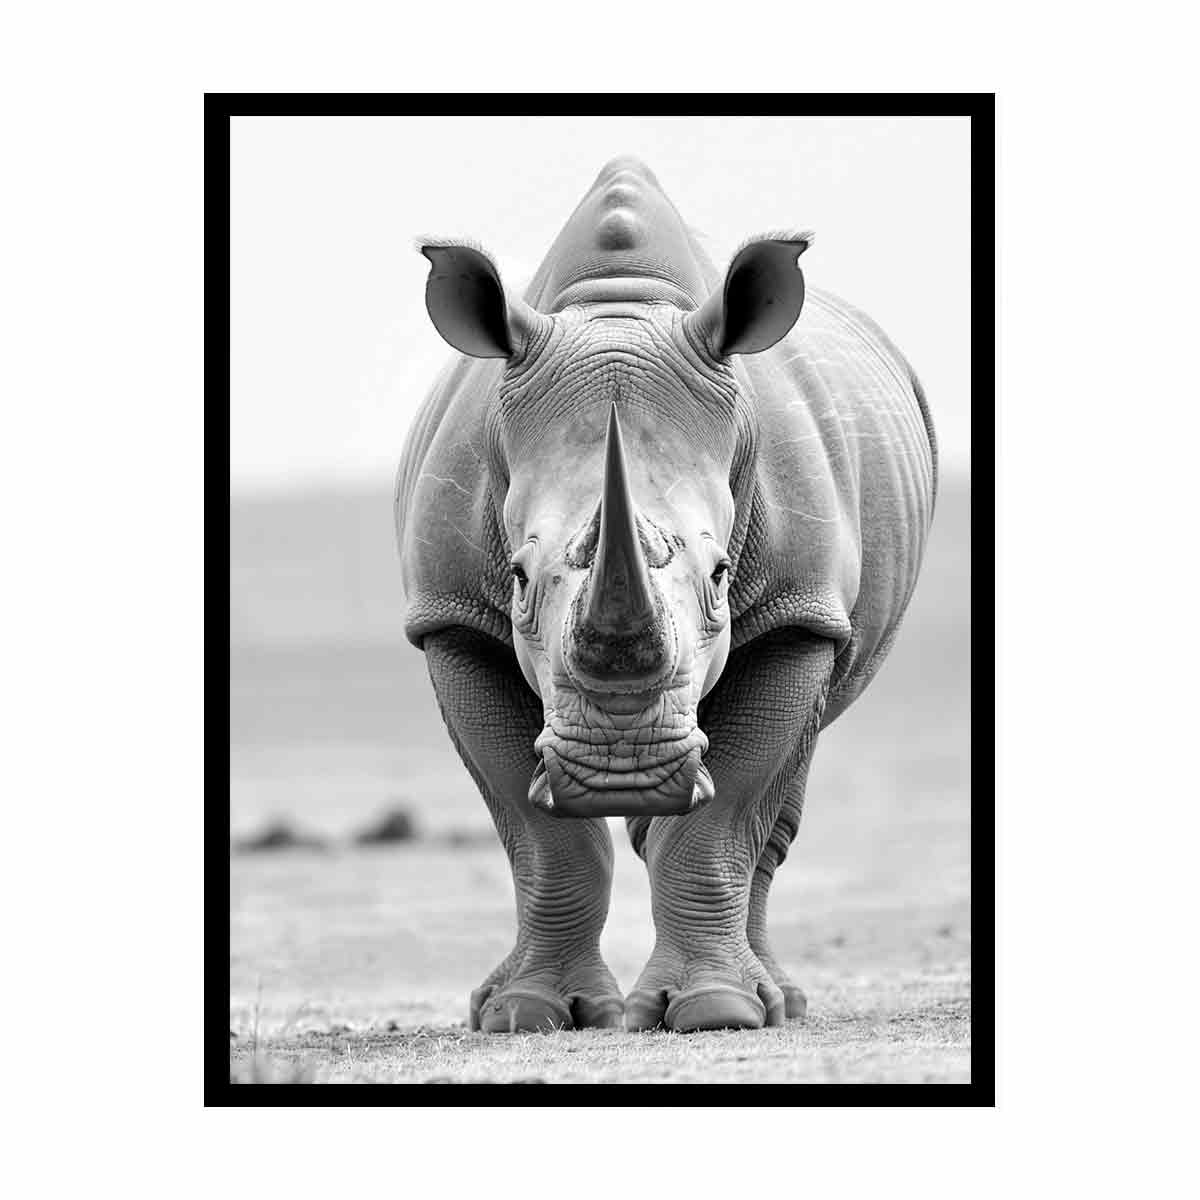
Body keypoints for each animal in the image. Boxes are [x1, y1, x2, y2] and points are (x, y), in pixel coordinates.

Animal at [395, 156, 936, 1033]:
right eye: (517, 579)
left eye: (720, 576)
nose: (623, 770)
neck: (619, 309)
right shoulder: (451, 619)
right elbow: (538, 830)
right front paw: (524, 1014)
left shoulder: (797, 612)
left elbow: (724, 815)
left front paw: (717, 1010)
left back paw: (778, 1002)